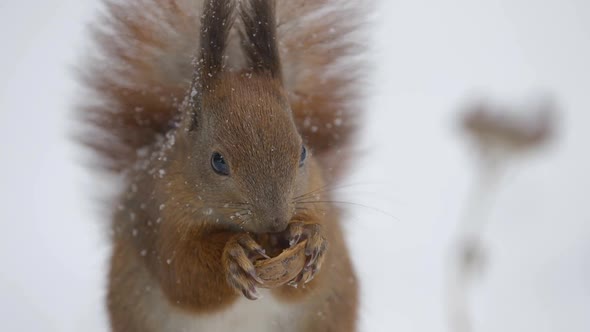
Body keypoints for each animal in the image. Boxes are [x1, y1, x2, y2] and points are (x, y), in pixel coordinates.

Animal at [77, 0, 366, 332]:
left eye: (303, 151)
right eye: (218, 162)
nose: (276, 222)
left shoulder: (319, 199)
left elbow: (308, 281)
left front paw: (311, 238)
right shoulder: (158, 219)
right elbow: (184, 276)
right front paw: (233, 253)